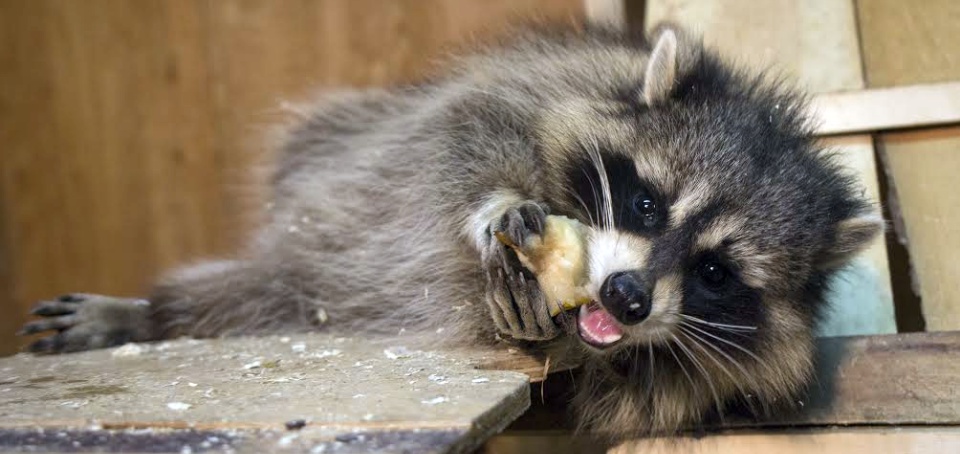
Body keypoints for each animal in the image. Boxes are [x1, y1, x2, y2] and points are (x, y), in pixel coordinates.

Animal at [22, 22, 880, 440]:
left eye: (714, 273)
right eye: (646, 205)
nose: (627, 296)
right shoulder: (534, 84)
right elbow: (468, 132)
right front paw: (496, 206)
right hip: (318, 222)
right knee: (243, 289)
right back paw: (151, 313)